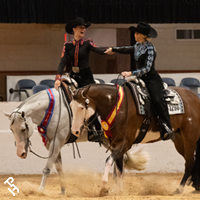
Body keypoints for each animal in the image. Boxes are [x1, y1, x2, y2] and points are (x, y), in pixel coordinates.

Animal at [70, 82, 200, 195]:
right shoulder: (116, 144)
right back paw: (195, 186)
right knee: (192, 161)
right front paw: (119, 190)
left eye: (81, 108)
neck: (117, 106)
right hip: (179, 140)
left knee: (189, 163)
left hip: (189, 138)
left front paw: (103, 187)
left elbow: (109, 161)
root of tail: (196, 98)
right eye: (71, 106)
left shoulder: (125, 144)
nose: (74, 131)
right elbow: (119, 168)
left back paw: (179, 189)